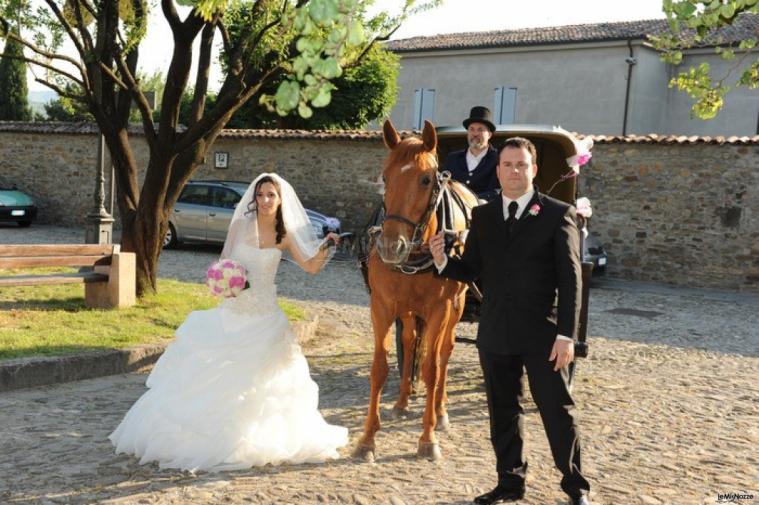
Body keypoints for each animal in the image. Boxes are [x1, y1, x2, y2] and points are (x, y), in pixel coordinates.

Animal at [354, 119, 478, 460]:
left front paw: (428, 438)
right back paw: (402, 402)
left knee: (444, 351)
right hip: (408, 309)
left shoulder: (440, 308)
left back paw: (442, 410)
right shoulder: (382, 307)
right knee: (410, 344)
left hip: (456, 305)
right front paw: (367, 439)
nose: (389, 246)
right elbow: (380, 368)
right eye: (385, 177)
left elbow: (432, 369)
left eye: (425, 179)